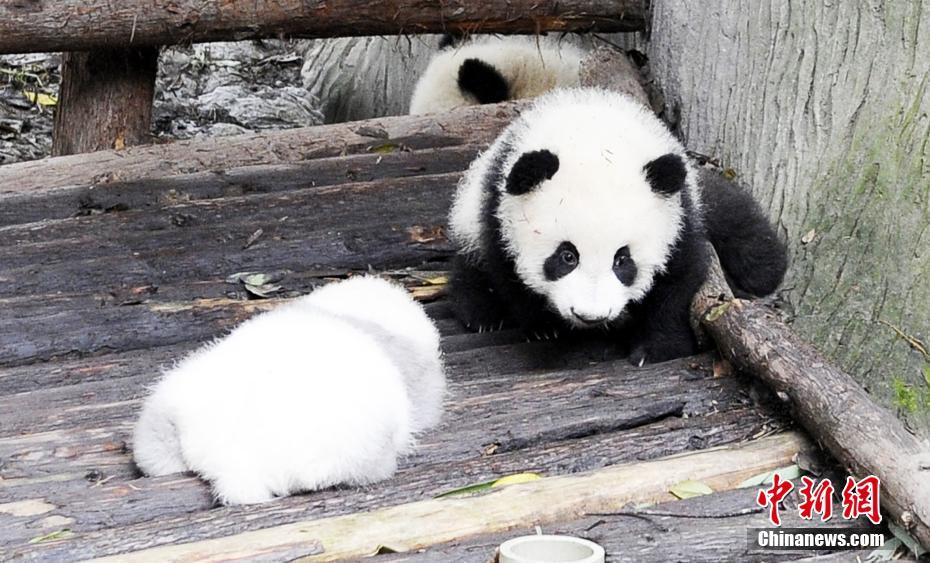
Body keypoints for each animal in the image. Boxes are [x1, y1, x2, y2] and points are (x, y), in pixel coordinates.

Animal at [448, 88, 787, 365]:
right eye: (567, 256)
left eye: (623, 260)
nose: (590, 316)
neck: (595, 140)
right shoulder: (498, 212)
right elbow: (508, 274)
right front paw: (546, 327)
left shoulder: (679, 217)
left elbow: (677, 281)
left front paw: (656, 347)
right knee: (471, 261)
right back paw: (482, 313)